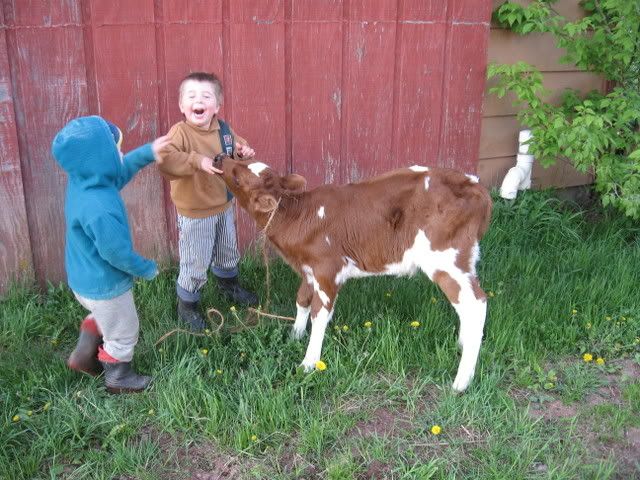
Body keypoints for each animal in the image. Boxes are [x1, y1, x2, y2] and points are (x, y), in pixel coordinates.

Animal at [212, 155, 492, 392]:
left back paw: (461, 381)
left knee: (475, 304)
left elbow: (319, 313)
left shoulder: (327, 269)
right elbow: (302, 301)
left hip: (446, 260)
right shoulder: (308, 270)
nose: (218, 157)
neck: (297, 215)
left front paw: (308, 362)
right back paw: (464, 343)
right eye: (240, 158)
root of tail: (473, 184)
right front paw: (294, 336)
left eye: (237, 176)